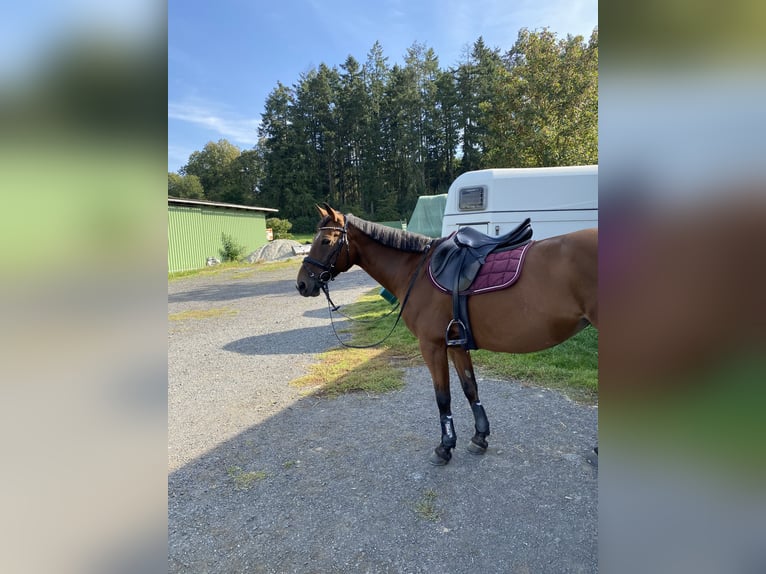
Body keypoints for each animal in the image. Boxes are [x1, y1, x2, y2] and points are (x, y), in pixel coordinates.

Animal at [296, 203, 598, 465]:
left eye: (326, 241)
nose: (302, 284)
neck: (415, 271)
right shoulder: (456, 344)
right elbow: (469, 388)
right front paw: (479, 438)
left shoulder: (432, 346)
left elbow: (443, 397)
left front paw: (445, 447)